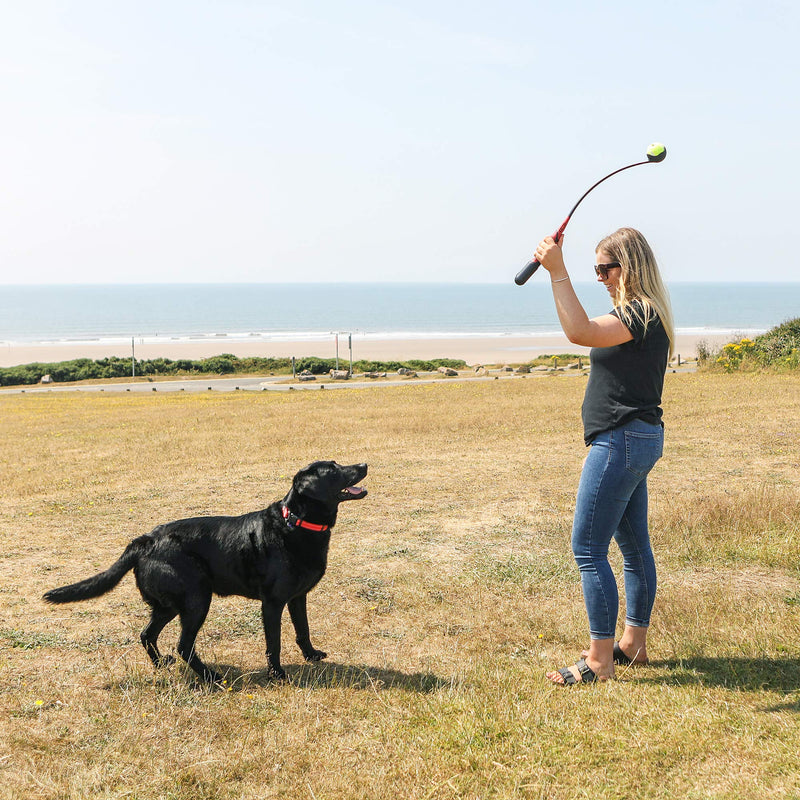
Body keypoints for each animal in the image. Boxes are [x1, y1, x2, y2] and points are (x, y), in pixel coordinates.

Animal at [44, 462, 368, 680]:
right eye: (334, 470)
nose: (363, 464)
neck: (296, 522)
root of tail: (145, 540)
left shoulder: (298, 597)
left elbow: (303, 630)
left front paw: (312, 655)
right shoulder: (272, 603)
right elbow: (273, 643)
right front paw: (277, 674)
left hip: (170, 605)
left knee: (147, 634)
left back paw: (161, 666)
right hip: (197, 600)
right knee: (183, 645)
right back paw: (210, 677)